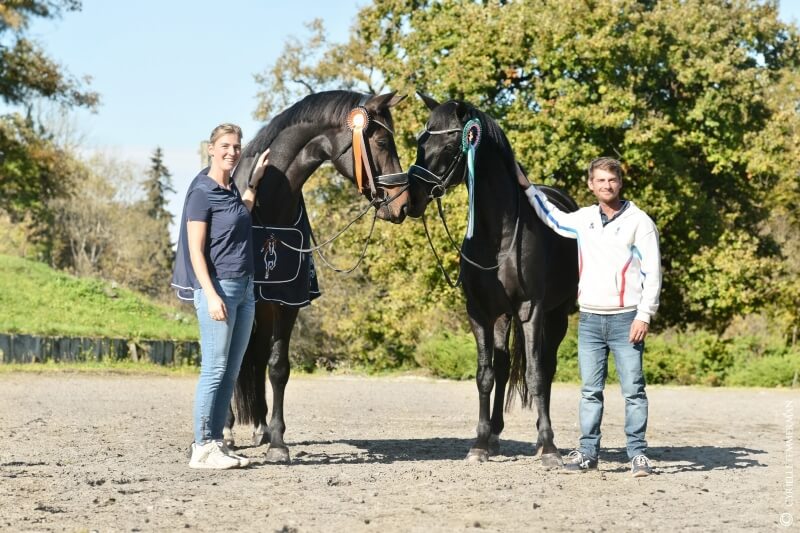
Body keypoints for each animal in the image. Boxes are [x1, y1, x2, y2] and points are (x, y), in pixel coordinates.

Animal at [227, 90, 408, 463]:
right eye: (382, 141)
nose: (403, 204)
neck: (267, 203)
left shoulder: (287, 301)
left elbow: (278, 367)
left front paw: (278, 442)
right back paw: (227, 430)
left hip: (264, 308)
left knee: (256, 356)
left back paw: (260, 428)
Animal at [403, 94, 578, 467]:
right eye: (421, 142)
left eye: (450, 143)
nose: (412, 198)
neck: (498, 233)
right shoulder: (480, 311)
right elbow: (485, 374)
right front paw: (480, 443)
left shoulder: (530, 309)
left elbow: (537, 374)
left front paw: (548, 447)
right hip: (503, 316)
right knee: (502, 366)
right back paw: (496, 434)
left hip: (556, 315)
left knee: (547, 366)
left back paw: (542, 438)